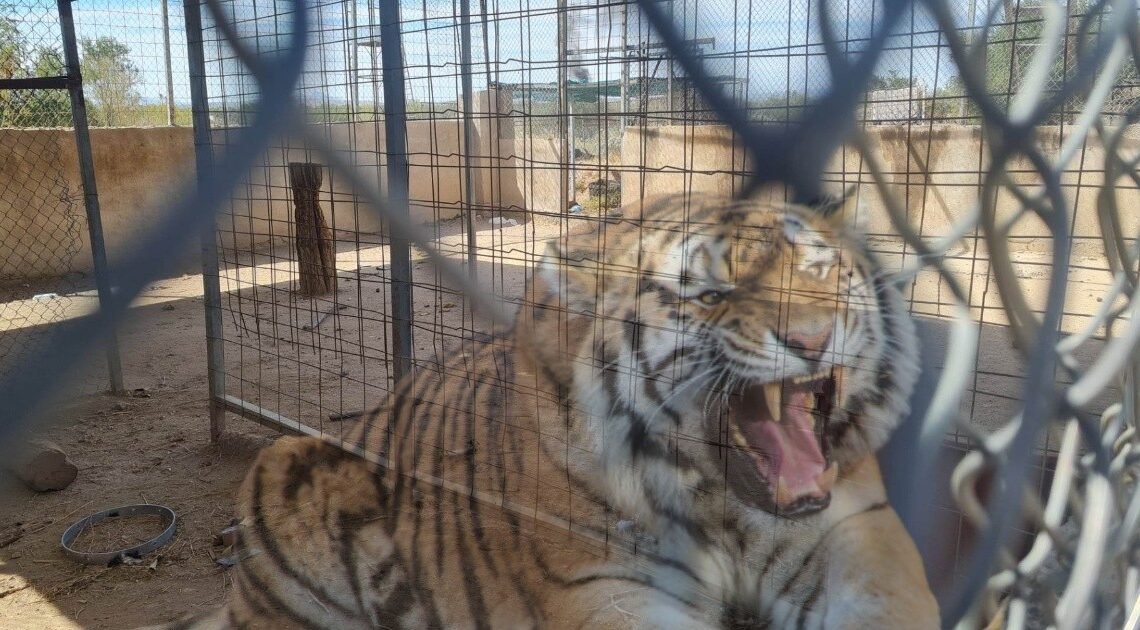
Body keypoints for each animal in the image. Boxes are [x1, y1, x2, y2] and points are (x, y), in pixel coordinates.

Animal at [155, 193, 938, 629]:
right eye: (712, 296)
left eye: (822, 273)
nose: (812, 340)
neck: (718, 495)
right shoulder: (598, 591)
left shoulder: (854, 531)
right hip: (282, 462)